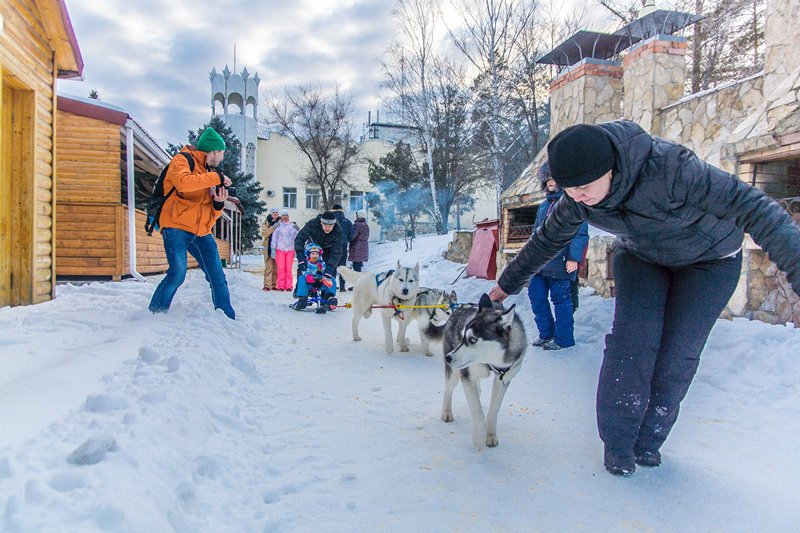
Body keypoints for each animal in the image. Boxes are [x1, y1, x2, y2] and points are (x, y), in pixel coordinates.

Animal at [440, 294, 528, 450]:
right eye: (463, 336)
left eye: (473, 339)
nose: (448, 357)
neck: (492, 363)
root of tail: (459, 308)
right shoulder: (467, 376)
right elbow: (477, 410)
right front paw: (479, 437)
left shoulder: (503, 380)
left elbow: (493, 410)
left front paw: (491, 435)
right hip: (455, 373)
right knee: (448, 390)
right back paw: (446, 412)